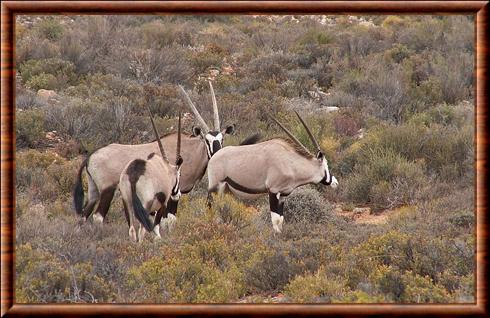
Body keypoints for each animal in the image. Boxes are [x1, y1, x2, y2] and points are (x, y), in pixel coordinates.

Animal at [73, 81, 238, 224]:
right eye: (207, 140)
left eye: (222, 139)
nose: (218, 155)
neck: (189, 151)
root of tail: (90, 157)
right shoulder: (172, 193)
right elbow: (169, 220)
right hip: (107, 190)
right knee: (98, 216)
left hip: (94, 191)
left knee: (83, 215)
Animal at [119, 109, 183, 241]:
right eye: (180, 175)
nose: (177, 194)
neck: (165, 169)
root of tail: (134, 175)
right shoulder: (163, 203)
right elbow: (156, 226)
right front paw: (158, 239)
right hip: (145, 205)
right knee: (141, 230)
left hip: (127, 202)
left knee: (132, 230)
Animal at [206, 111, 336, 234]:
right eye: (326, 165)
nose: (335, 182)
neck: (290, 162)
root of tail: (214, 156)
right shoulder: (273, 191)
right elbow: (275, 219)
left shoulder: (283, 194)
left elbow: (281, 219)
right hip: (215, 187)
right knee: (210, 205)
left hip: (225, 190)